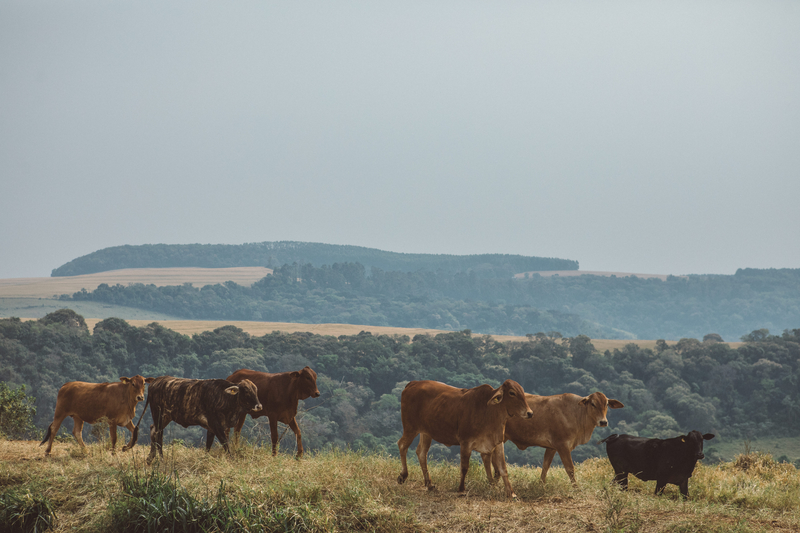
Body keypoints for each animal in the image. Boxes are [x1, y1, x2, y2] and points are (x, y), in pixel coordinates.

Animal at [396, 378, 532, 498]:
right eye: (512, 393)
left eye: (522, 391)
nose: (530, 413)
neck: (489, 411)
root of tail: (413, 383)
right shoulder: (465, 442)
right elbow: (464, 467)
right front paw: (461, 490)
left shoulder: (498, 443)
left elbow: (503, 468)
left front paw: (511, 493)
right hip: (410, 427)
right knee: (402, 445)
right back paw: (403, 476)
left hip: (426, 432)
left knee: (421, 452)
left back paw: (429, 484)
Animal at [484, 388, 620, 484]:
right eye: (593, 404)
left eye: (606, 404)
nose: (603, 422)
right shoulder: (562, 445)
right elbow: (570, 468)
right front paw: (575, 487)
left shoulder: (551, 447)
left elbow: (545, 466)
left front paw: (541, 484)